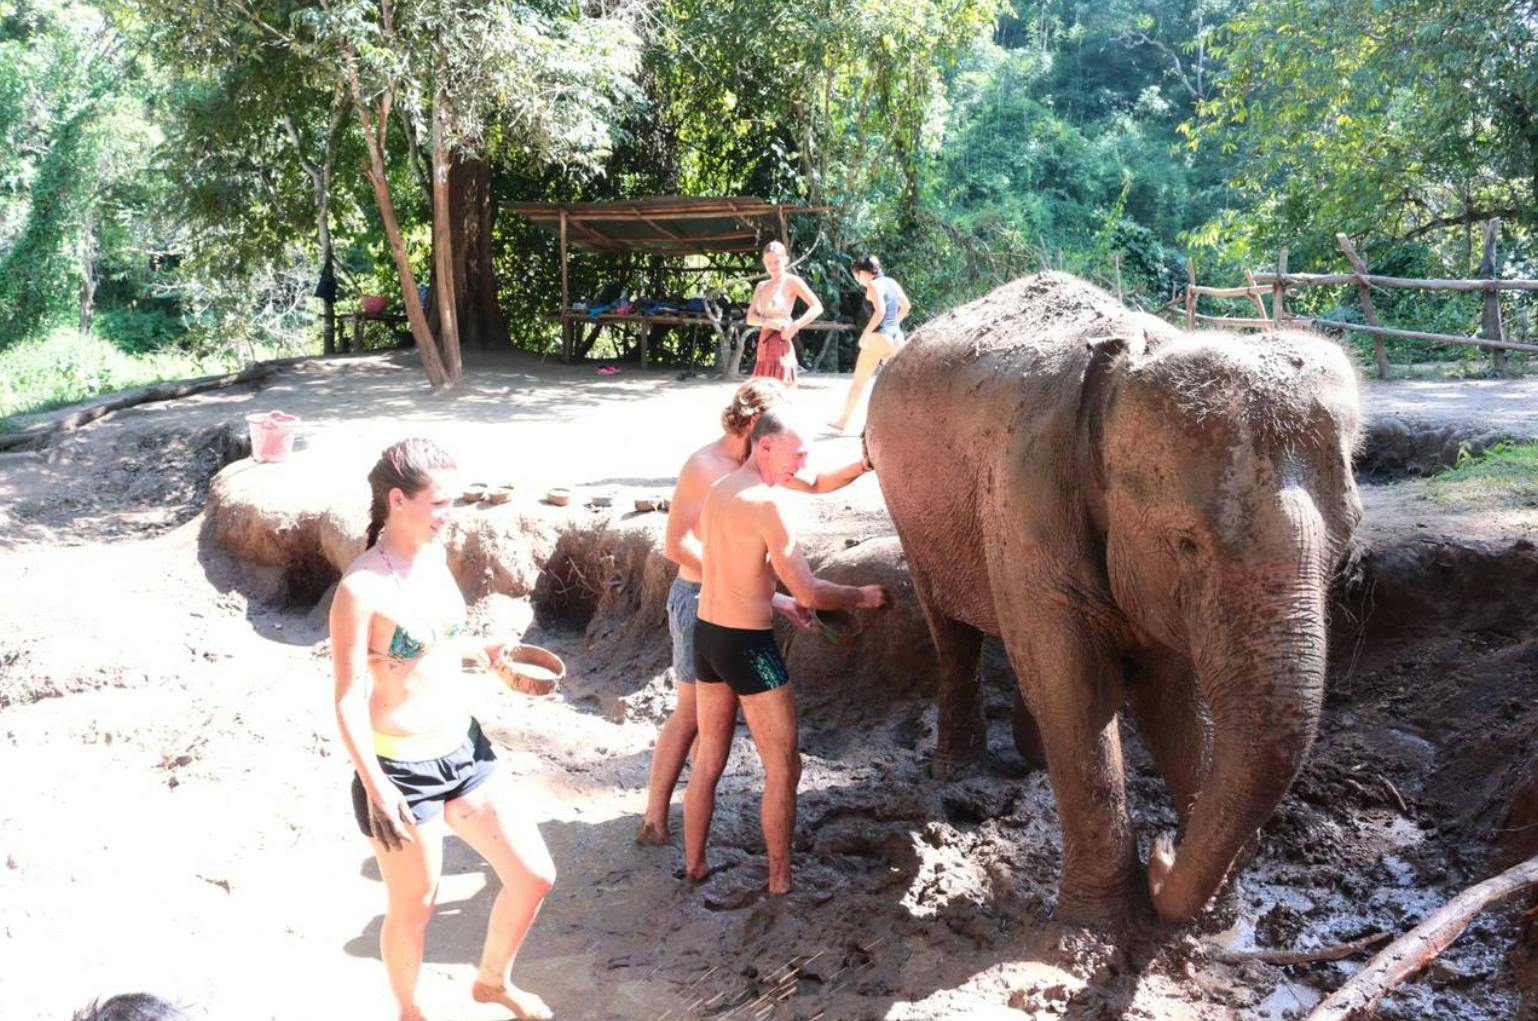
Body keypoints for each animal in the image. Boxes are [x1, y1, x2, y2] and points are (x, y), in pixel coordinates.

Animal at [865, 272, 1363, 926]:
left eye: (1346, 552)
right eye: (1186, 543)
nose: (1165, 849)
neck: (1131, 358)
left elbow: (1169, 694)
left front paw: (1215, 919)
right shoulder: (1027, 495)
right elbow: (1077, 690)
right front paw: (1096, 927)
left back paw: (1032, 760)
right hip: (907, 510)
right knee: (952, 632)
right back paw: (954, 769)